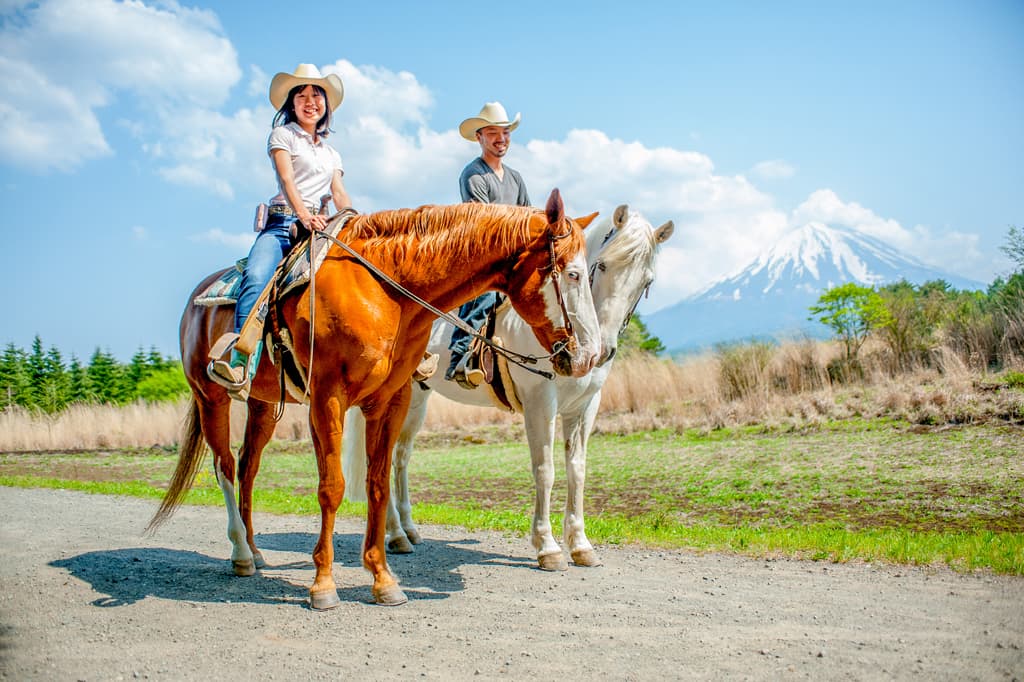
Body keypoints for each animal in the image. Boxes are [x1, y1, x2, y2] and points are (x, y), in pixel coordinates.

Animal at [147, 189, 603, 609]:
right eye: (573, 274)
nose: (588, 357)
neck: (386, 291)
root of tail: (198, 297)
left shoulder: (390, 400)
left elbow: (378, 483)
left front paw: (383, 579)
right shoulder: (327, 398)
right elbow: (332, 486)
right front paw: (323, 585)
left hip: (262, 405)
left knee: (248, 468)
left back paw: (256, 552)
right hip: (211, 397)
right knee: (224, 465)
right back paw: (241, 552)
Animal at [342, 204, 674, 570]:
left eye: (647, 282)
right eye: (601, 265)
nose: (600, 352)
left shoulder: (586, 406)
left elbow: (577, 471)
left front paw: (580, 545)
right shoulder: (541, 403)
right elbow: (545, 470)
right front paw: (547, 546)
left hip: (419, 398)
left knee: (399, 458)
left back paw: (407, 531)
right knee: (383, 458)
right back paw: (396, 534)